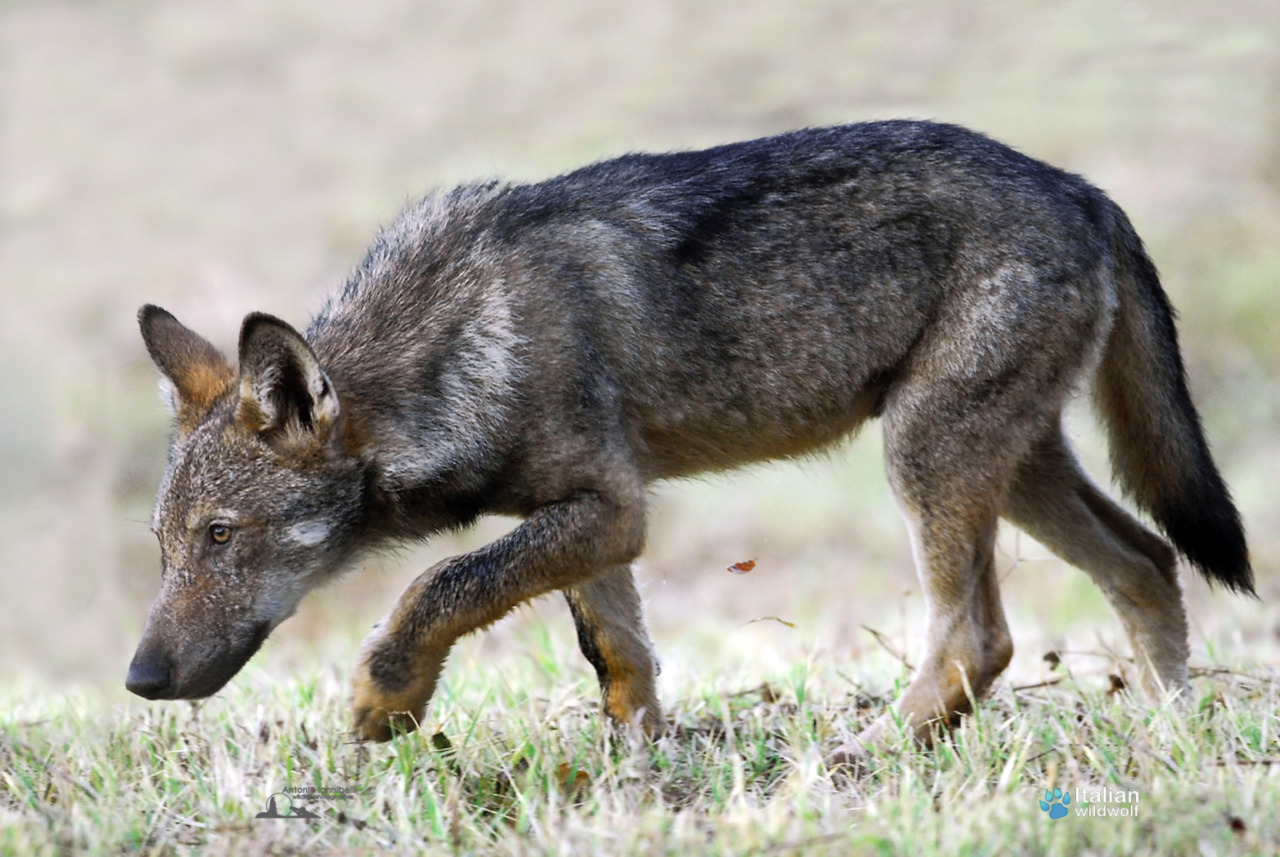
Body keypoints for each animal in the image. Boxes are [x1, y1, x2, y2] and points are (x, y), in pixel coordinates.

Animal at [127, 121, 1252, 762]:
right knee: (1146, 562)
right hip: (1008, 470)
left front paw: (383, 698)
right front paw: (646, 766)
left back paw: (871, 752)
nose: (138, 678)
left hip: (926, 462)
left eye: (222, 536)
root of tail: (1087, 190)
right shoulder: (592, 519)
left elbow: (438, 584)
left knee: (982, 638)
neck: (456, 344)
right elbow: (617, 653)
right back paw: (1175, 735)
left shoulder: (611, 508)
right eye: (166, 547)